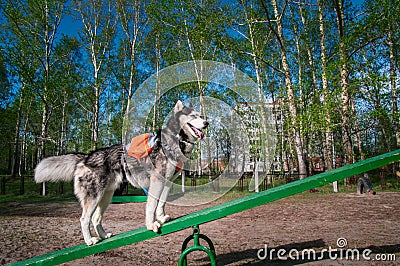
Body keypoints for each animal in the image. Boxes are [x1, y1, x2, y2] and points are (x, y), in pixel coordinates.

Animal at [34, 101, 208, 246]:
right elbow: (151, 206)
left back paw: (103, 236)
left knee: (96, 218)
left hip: (106, 197)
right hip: (94, 197)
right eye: (193, 116)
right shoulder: (156, 181)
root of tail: (86, 157)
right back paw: (90, 240)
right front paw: (151, 224)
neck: (176, 140)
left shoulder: (166, 182)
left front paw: (161, 217)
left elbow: (161, 203)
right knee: (84, 219)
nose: (206, 123)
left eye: (201, 115)